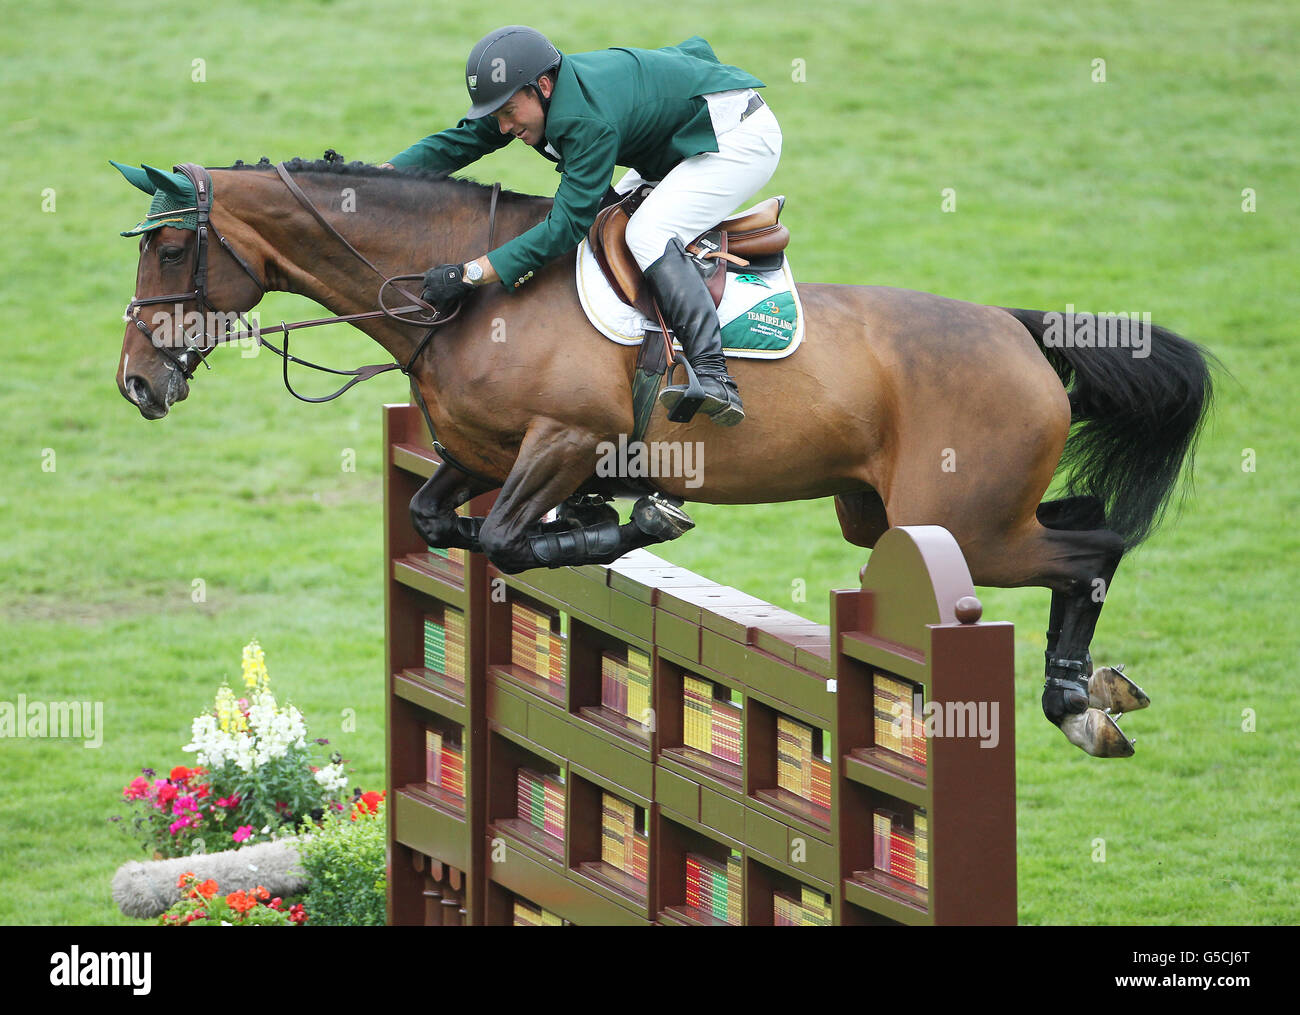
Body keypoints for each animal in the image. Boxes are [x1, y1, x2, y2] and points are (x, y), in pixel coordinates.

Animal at [114, 158, 1216, 753]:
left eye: (168, 251)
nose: (135, 383)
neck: (470, 295)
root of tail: (1021, 331)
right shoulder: (481, 453)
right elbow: (441, 519)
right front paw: (610, 519)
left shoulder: (560, 442)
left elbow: (507, 537)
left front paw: (627, 518)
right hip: (917, 515)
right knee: (1083, 525)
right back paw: (1091, 692)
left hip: (959, 526)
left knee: (1093, 551)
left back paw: (1077, 700)